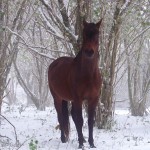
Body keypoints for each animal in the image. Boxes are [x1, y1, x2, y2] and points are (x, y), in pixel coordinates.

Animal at [47, 19, 102, 149]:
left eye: (97, 34)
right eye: (84, 34)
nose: (89, 52)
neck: (89, 75)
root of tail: (54, 64)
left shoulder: (93, 99)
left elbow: (90, 121)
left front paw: (91, 143)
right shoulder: (78, 99)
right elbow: (80, 120)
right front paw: (81, 144)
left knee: (71, 115)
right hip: (57, 98)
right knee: (61, 117)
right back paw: (64, 139)